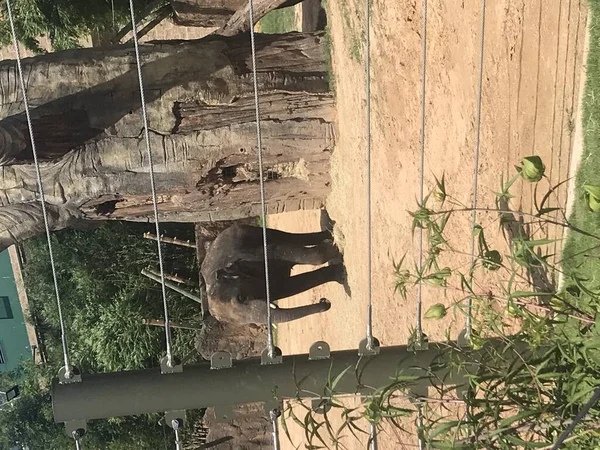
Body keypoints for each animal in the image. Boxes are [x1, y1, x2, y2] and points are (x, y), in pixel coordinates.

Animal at [199, 224, 344, 324]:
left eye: (241, 298)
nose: (325, 301)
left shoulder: (255, 256)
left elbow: (280, 250)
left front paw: (334, 248)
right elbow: (286, 287)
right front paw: (339, 274)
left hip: (251, 231)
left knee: (285, 236)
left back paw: (329, 234)